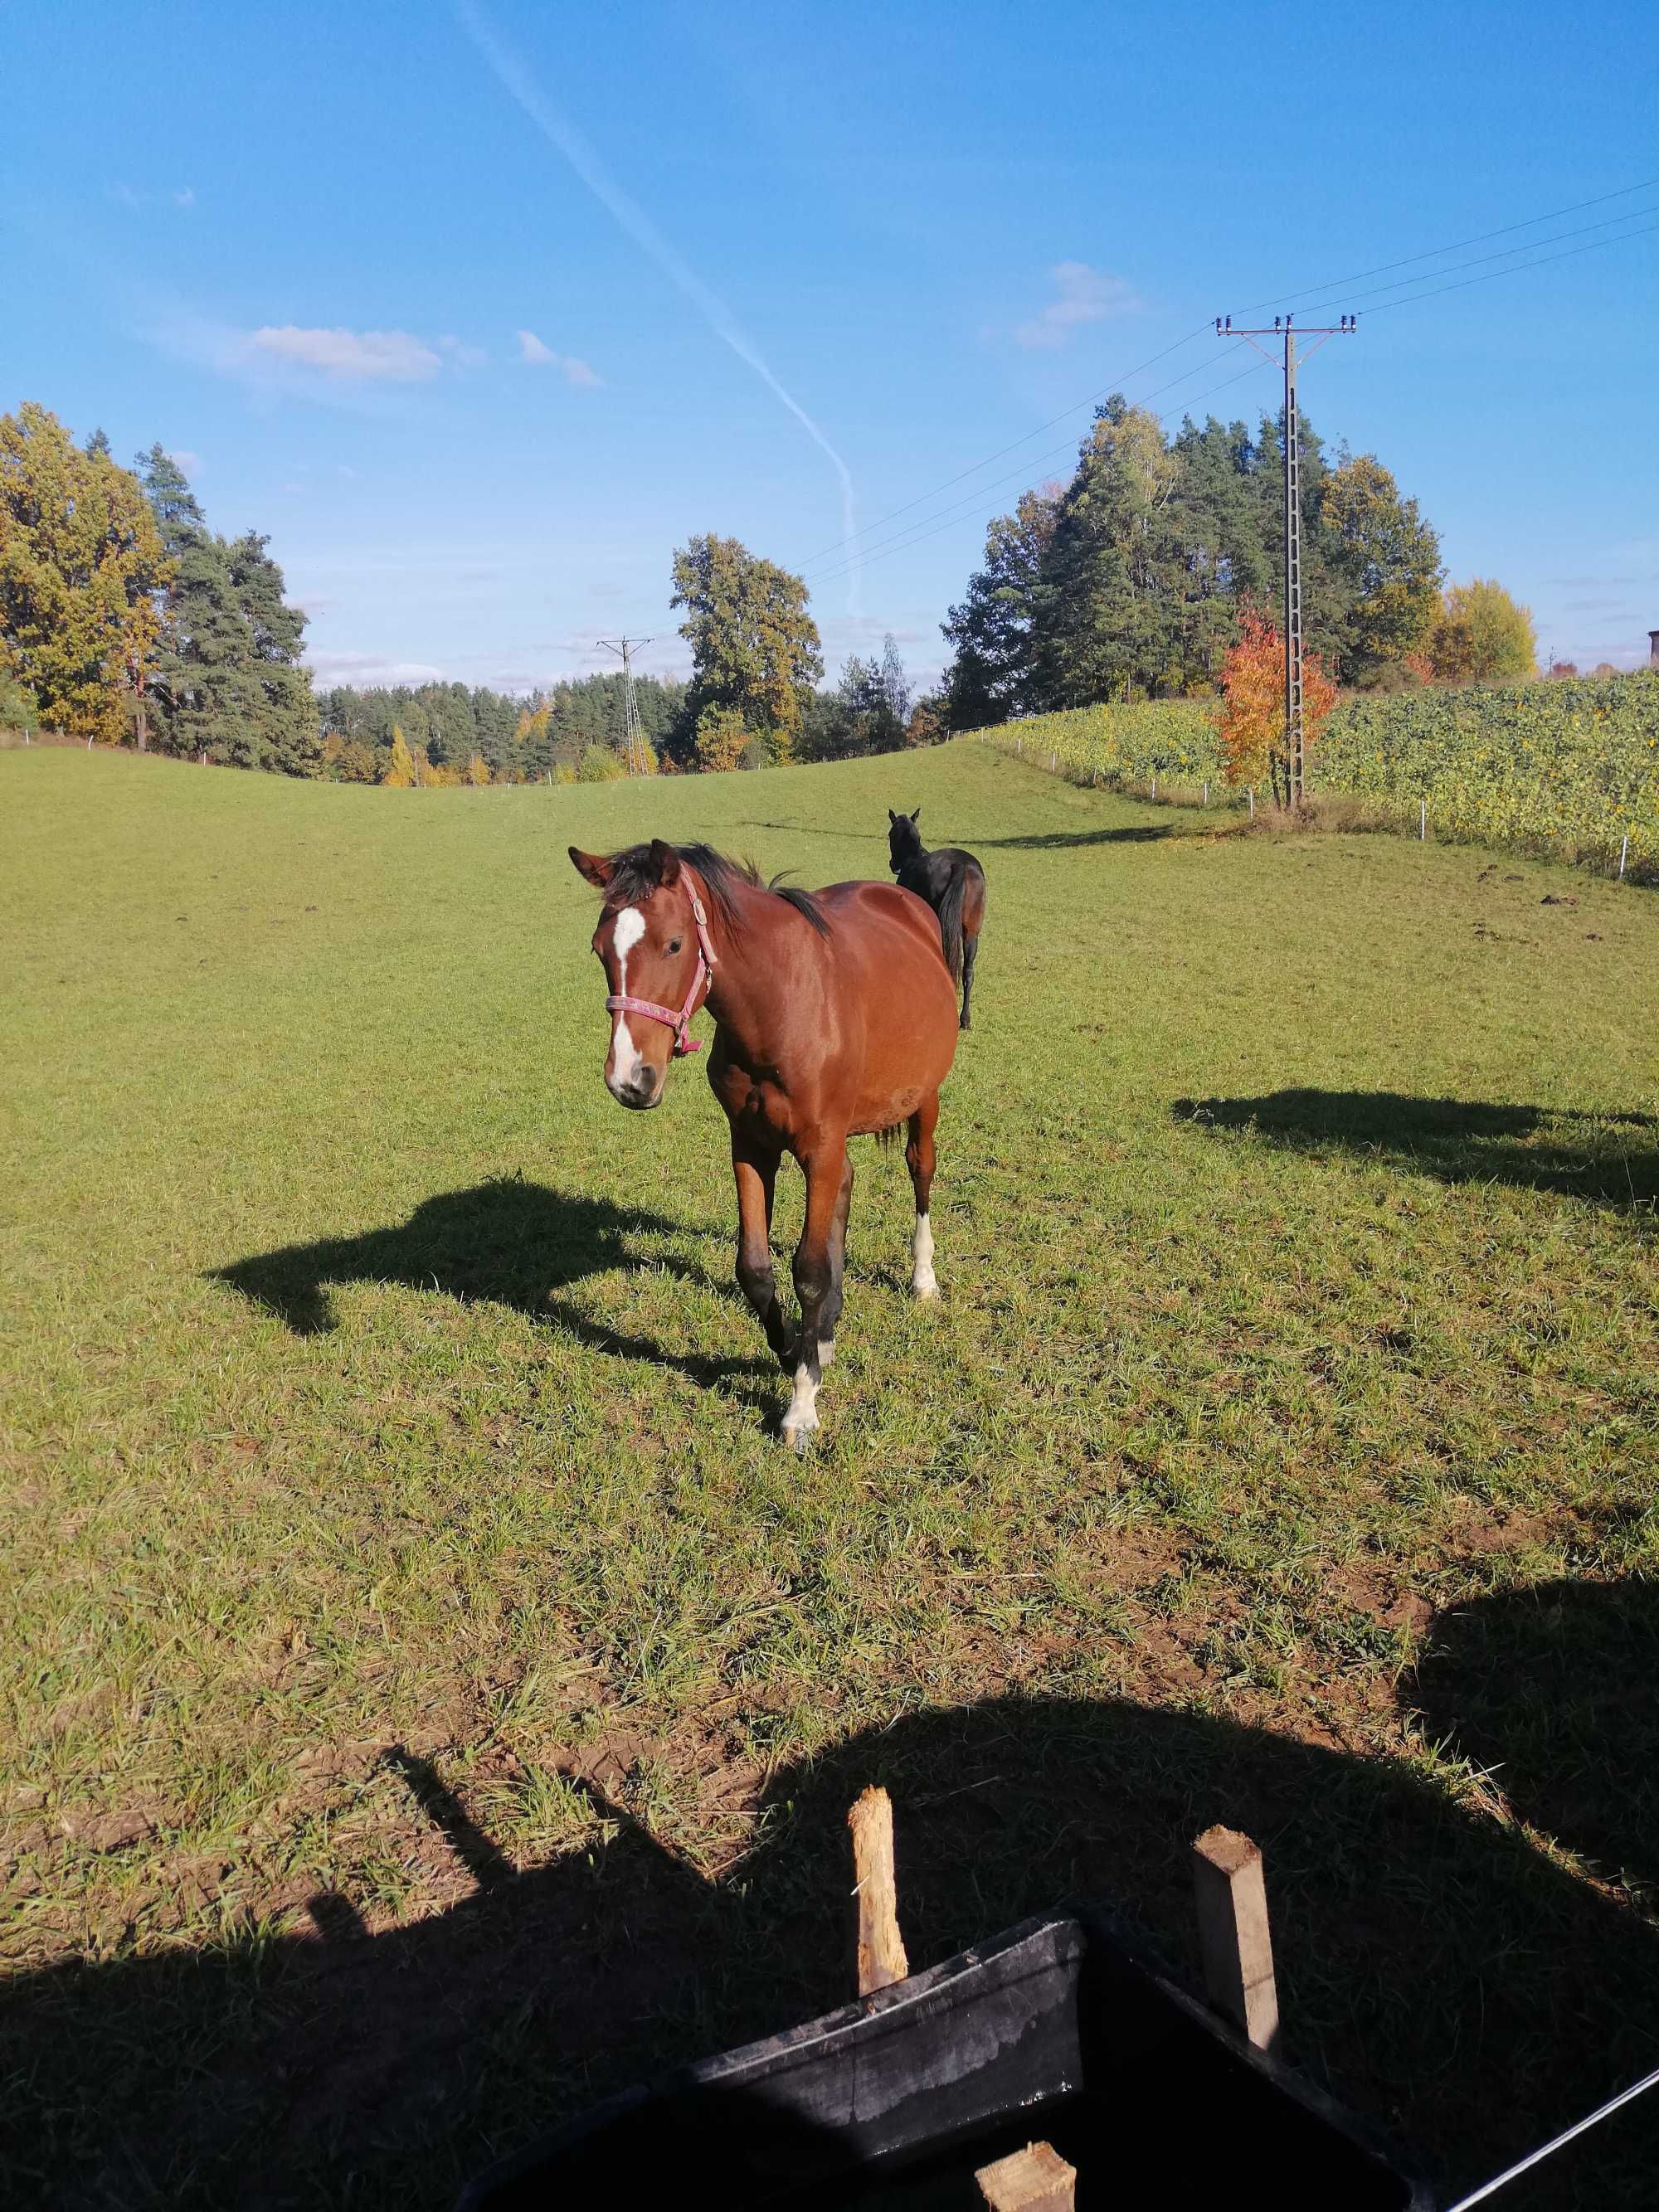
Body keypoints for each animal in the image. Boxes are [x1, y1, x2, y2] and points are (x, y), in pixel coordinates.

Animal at [571, 831, 960, 1451]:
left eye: (674, 944)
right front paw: (793, 1349)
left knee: (920, 1171)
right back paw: (823, 1335)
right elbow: (756, 1267)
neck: (780, 1005)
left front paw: (801, 1405)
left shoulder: (820, 1148)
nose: (630, 1078)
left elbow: (810, 1271)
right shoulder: (752, 1146)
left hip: (924, 1099)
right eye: (600, 950)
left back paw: (922, 1280)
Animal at [884, 805, 986, 1026]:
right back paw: (964, 1018)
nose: (893, 864)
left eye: (890, 834)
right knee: (967, 971)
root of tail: (960, 865)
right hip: (971, 932)